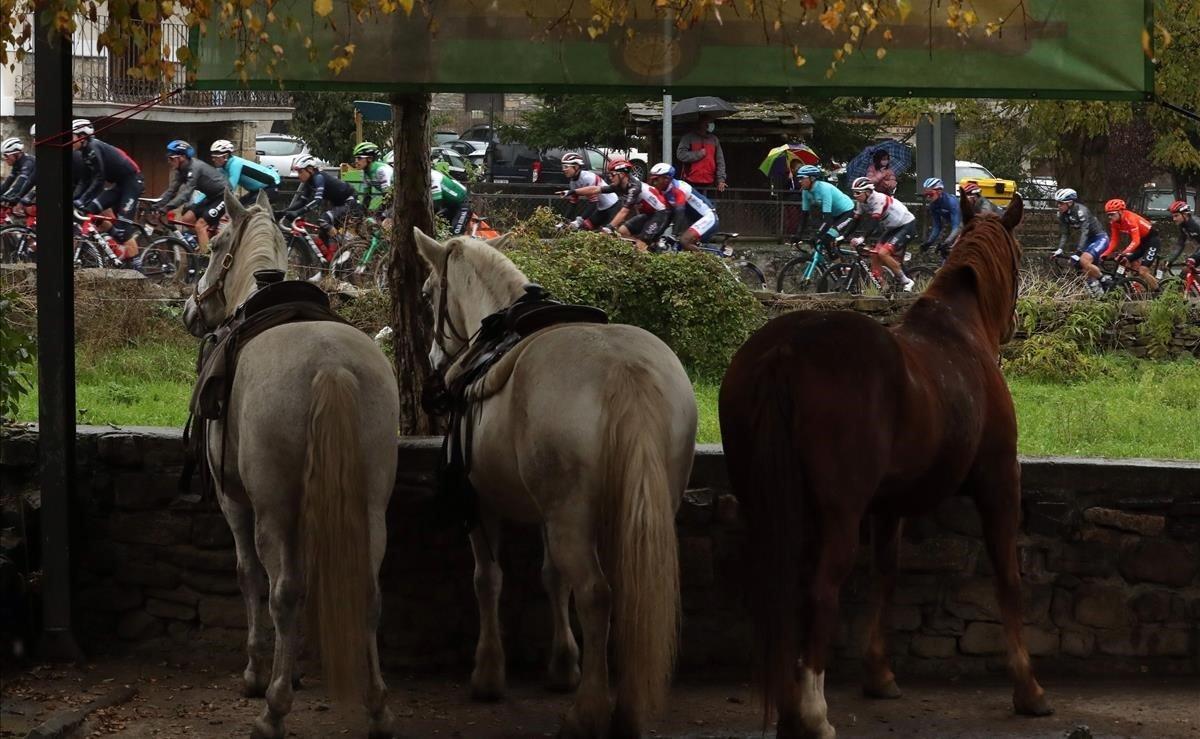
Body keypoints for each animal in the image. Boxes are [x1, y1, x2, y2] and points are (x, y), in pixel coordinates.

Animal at [182, 191, 398, 739]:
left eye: (214, 245)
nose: (192, 309)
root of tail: (331, 365)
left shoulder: (235, 502)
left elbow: (249, 577)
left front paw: (260, 671)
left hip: (272, 508)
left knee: (282, 590)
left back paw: (273, 707)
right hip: (370, 505)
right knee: (368, 594)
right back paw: (377, 707)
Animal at [415, 227, 700, 734]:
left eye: (429, 295)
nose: (434, 360)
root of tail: (624, 373)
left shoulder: (481, 503)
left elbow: (488, 579)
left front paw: (488, 673)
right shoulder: (547, 512)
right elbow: (551, 577)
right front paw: (563, 665)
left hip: (571, 515)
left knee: (596, 594)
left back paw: (589, 710)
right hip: (640, 507)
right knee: (630, 590)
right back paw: (627, 704)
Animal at [720, 193, 1051, 734]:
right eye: (1020, 258)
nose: (1012, 325)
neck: (962, 334)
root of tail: (787, 348)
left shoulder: (889, 504)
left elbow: (886, 573)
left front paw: (879, 672)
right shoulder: (1000, 478)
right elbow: (1008, 576)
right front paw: (1029, 687)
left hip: (762, 496)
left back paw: (790, 704)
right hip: (839, 510)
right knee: (821, 588)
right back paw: (814, 712)